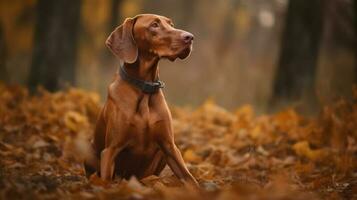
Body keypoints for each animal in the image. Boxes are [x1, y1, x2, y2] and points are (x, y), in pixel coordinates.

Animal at [85, 13, 199, 187]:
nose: (190, 37)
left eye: (171, 24)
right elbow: (106, 183)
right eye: (154, 25)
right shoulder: (110, 151)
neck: (145, 88)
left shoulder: (170, 148)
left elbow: (190, 179)